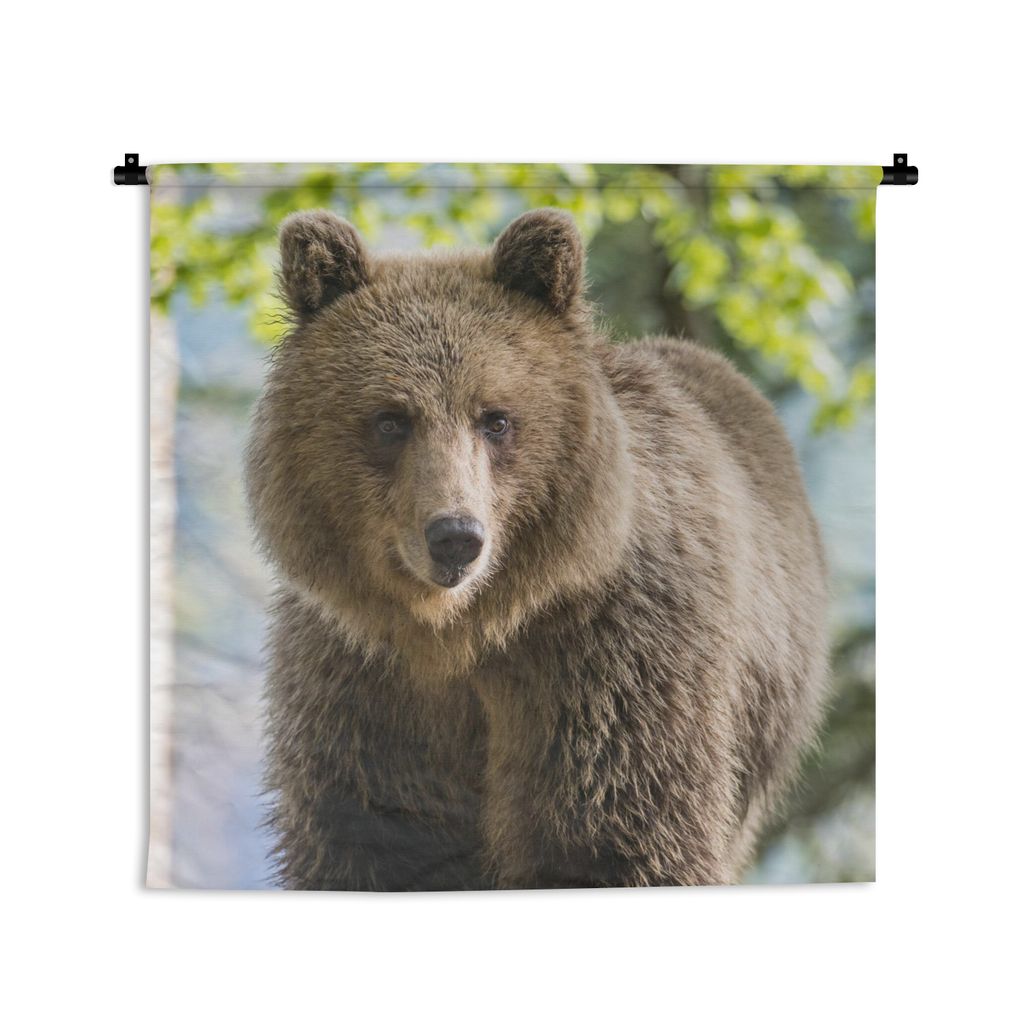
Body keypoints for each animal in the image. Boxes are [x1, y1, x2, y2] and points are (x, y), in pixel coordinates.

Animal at [244, 207, 829, 890]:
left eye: (495, 418)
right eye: (390, 419)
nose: (455, 537)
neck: (466, 630)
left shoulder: (611, 661)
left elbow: (609, 839)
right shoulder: (359, 679)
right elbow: (371, 836)